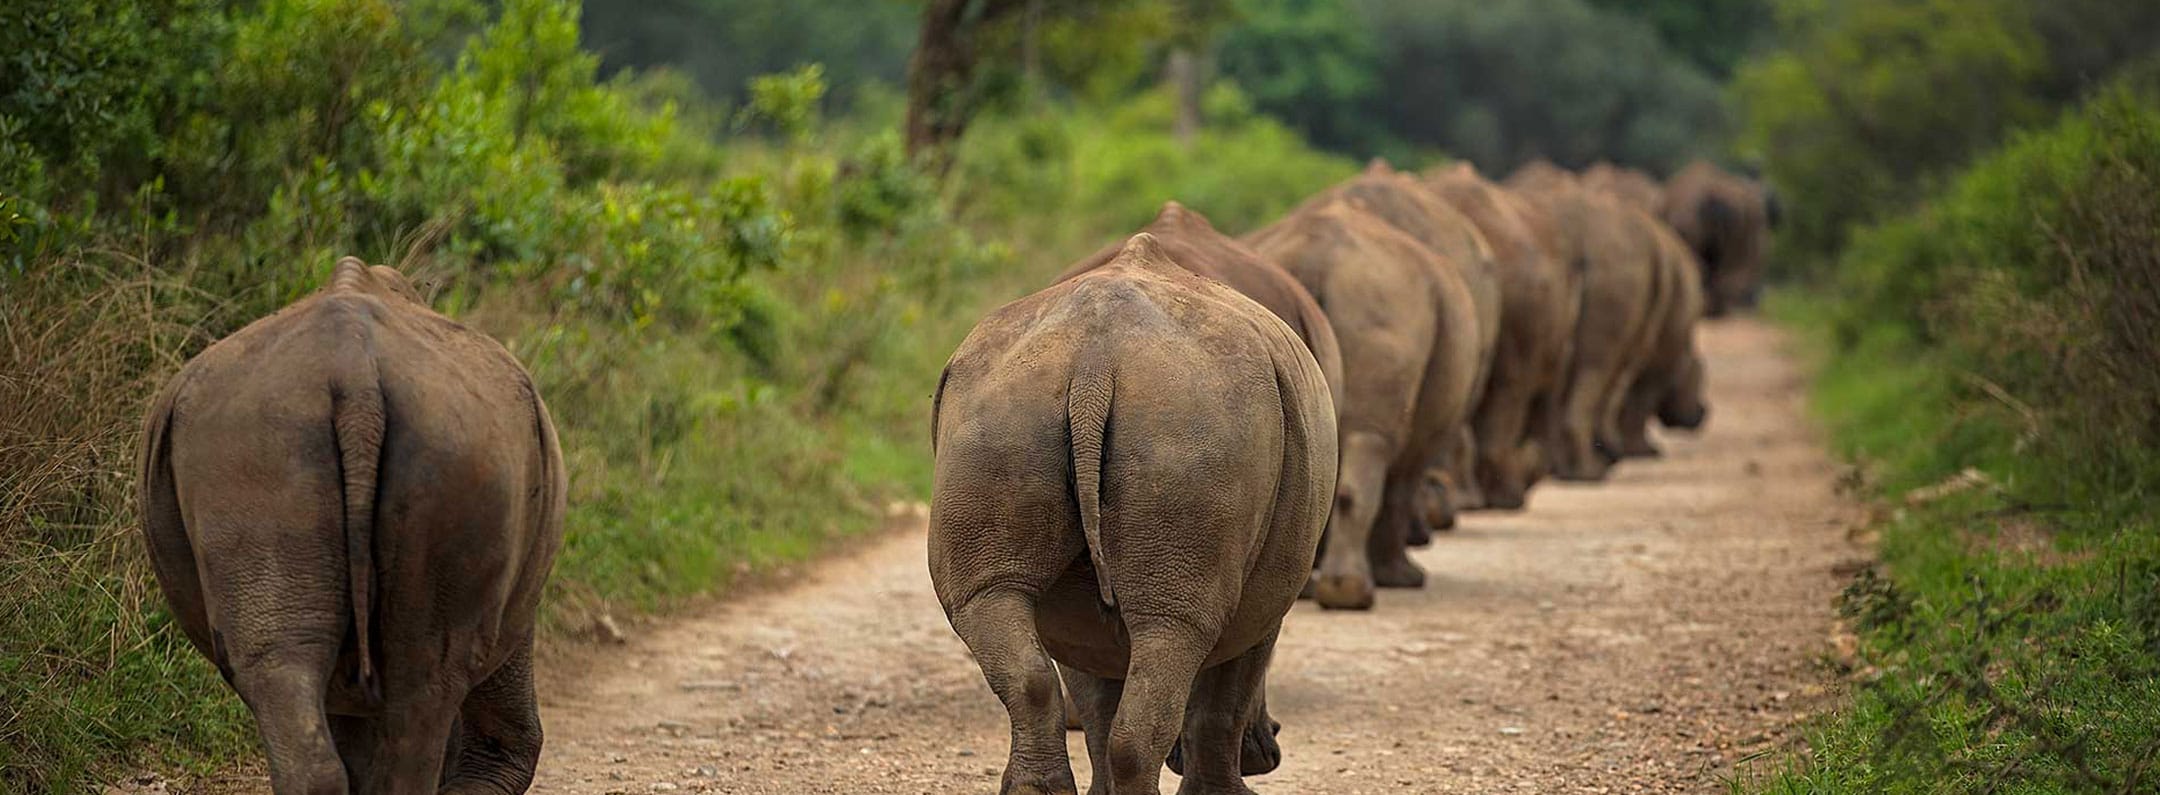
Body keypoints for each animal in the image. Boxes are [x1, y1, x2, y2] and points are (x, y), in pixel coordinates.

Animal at [929, 233, 1337, 795]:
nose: (1271, 747)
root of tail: (1094, 365)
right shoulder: (1267, 592)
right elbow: (1229, 689)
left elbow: (1094, 683)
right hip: (1189, 421)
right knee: (1175, 626)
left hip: (1004, 408)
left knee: (993, 602)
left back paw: (1037, 790)